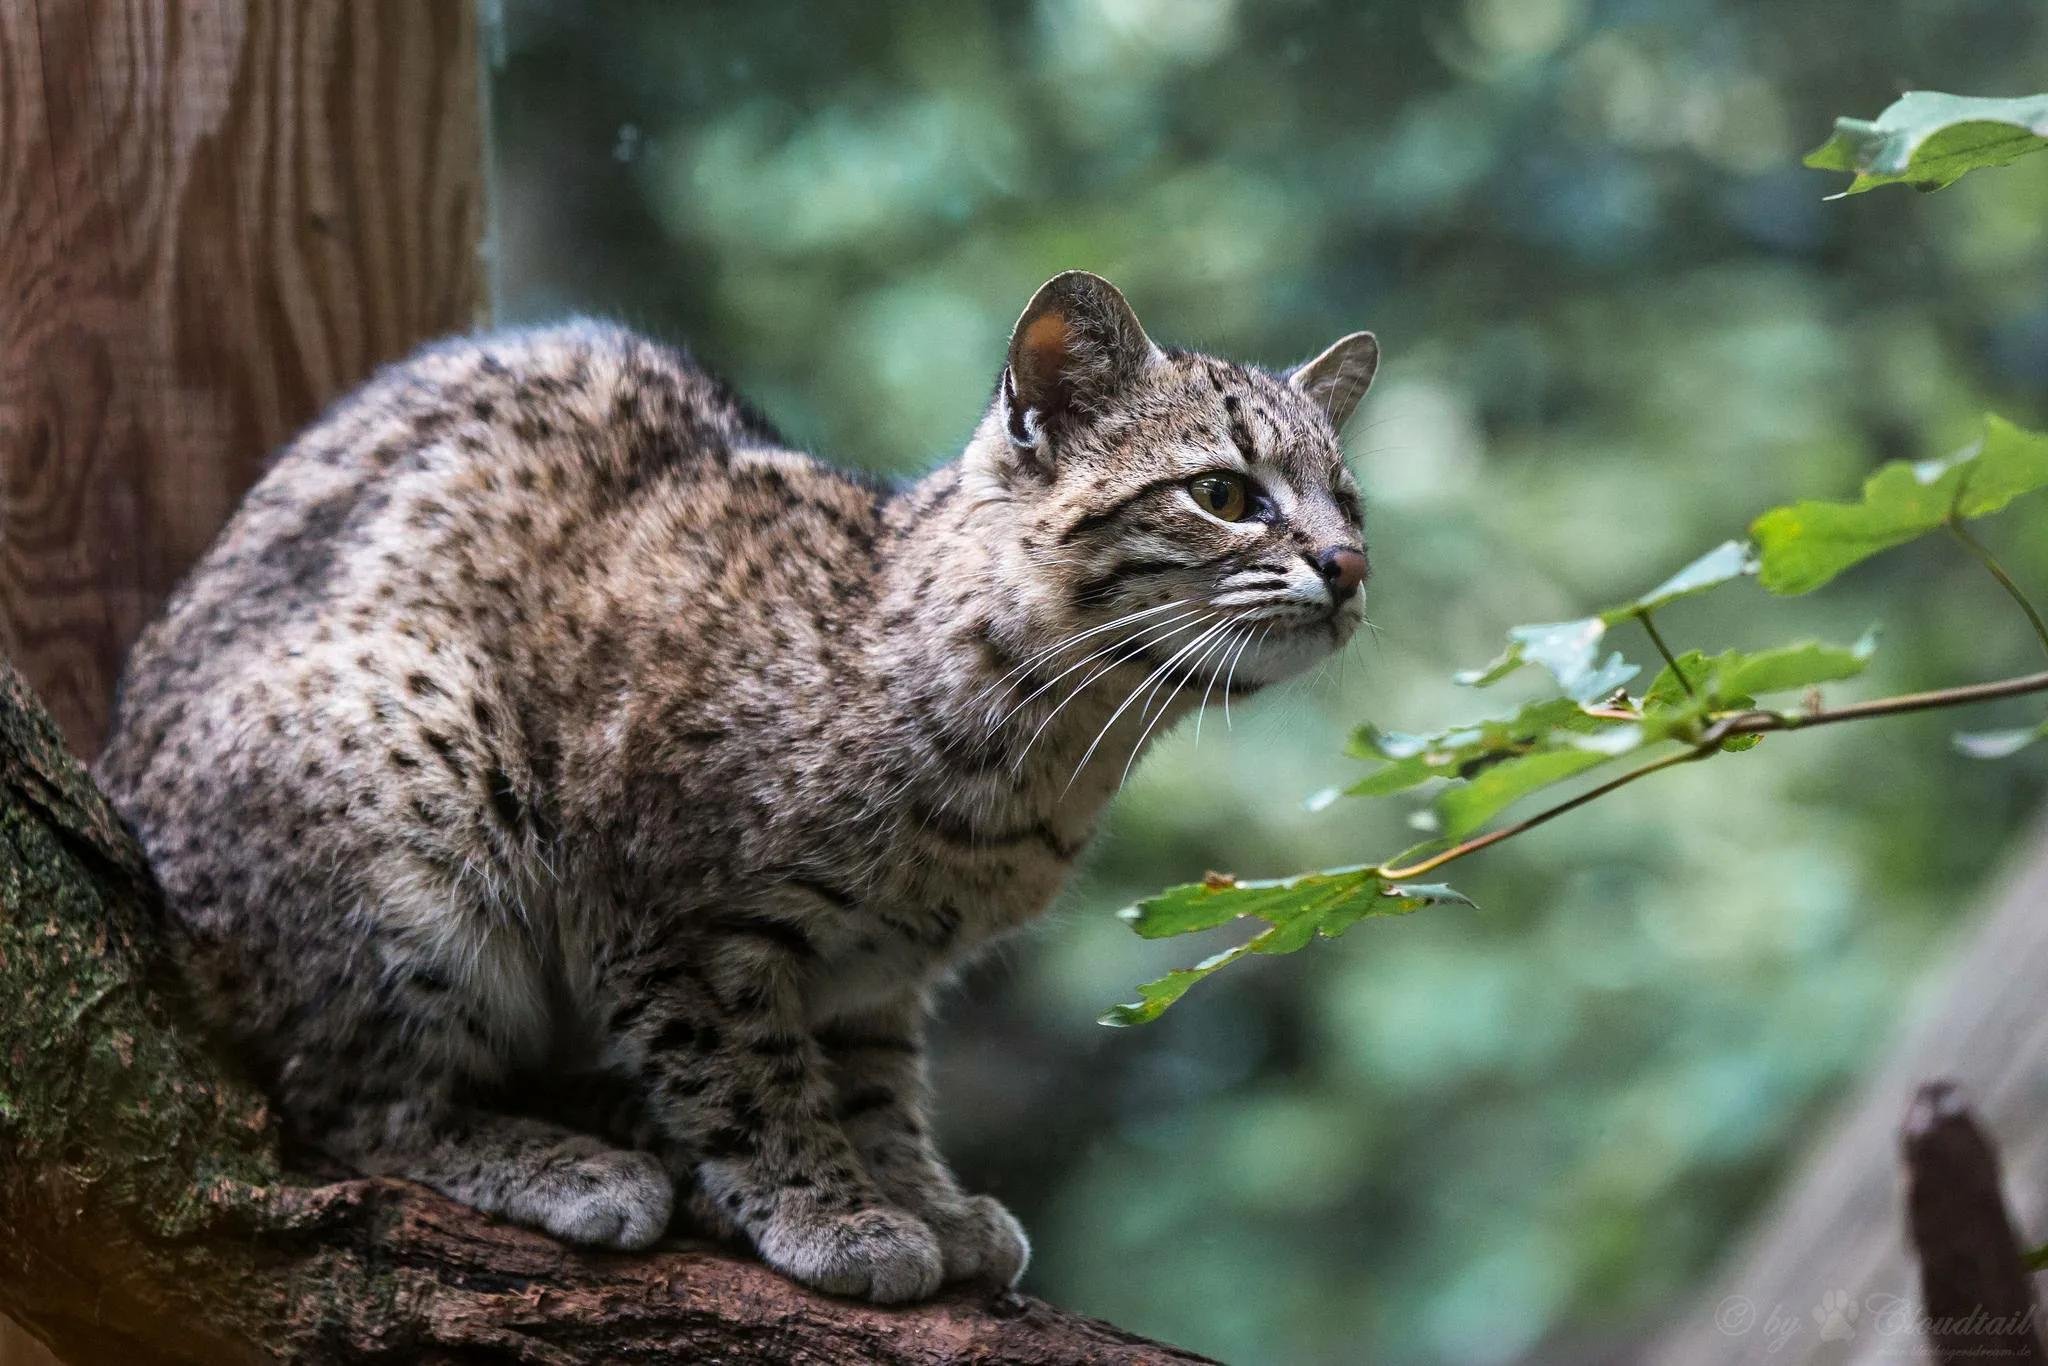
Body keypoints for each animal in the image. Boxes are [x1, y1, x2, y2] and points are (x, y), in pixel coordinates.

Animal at [92, 270, 1376, 1302]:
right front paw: (833, 1213)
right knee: (352, 1105)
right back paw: (578, 1164)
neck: (1053, 755)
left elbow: (876, 1087)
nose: (1350, 563)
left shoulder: (879, 976)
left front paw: (916, 1196)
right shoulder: (667, 922)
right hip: (417, 769)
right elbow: (747, 1078)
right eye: (1223, 492)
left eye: (1350, 498)